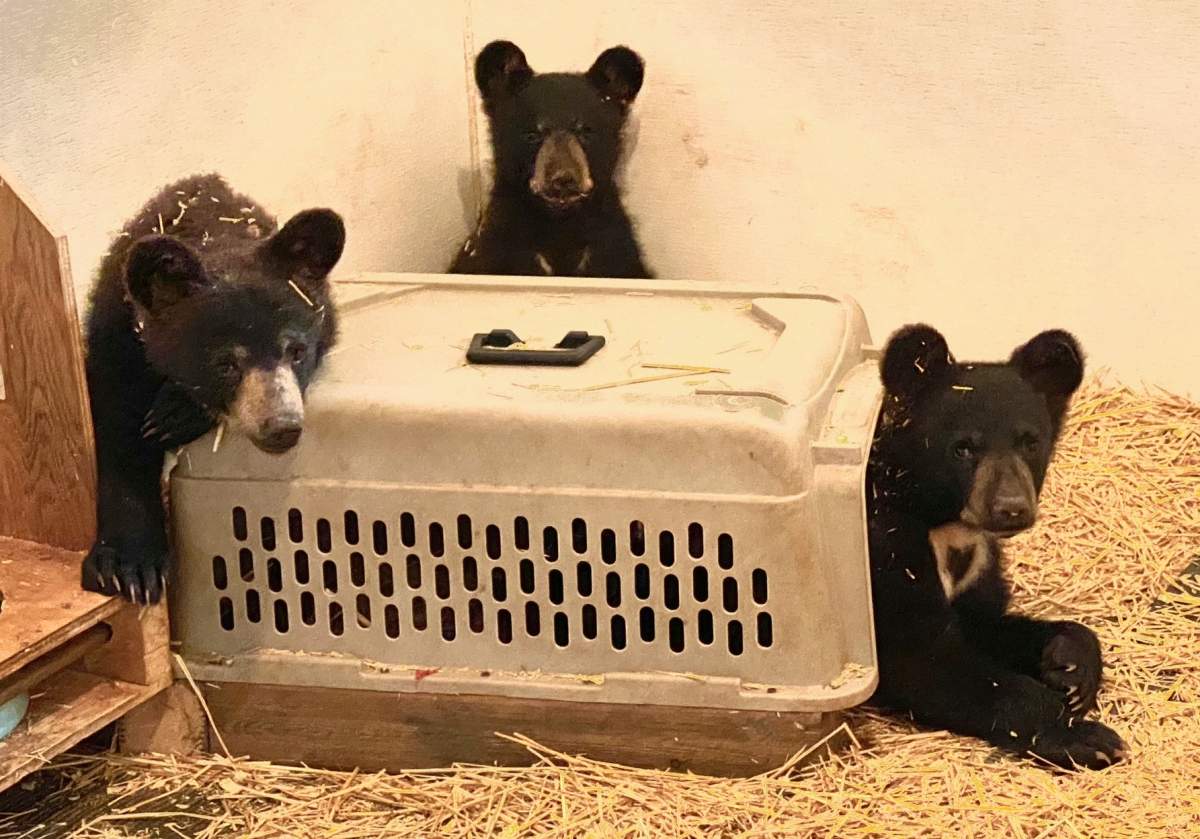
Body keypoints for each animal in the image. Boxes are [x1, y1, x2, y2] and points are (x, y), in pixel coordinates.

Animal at [82, 173, 345, 604]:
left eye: (296, 351)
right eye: (225, 364)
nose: (282, 427)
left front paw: (173, 414)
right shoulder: (116, 341)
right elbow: (117, 430)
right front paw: (127, 567)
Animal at [866, 324, 1127, 770]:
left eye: (1030, 442)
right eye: (963, 447)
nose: (1011, 509)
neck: (947, 524)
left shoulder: (979, 561)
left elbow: (983, 623)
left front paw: (1070, 665)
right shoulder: (885, 551)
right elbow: (925, 657)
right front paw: (1084, 737)